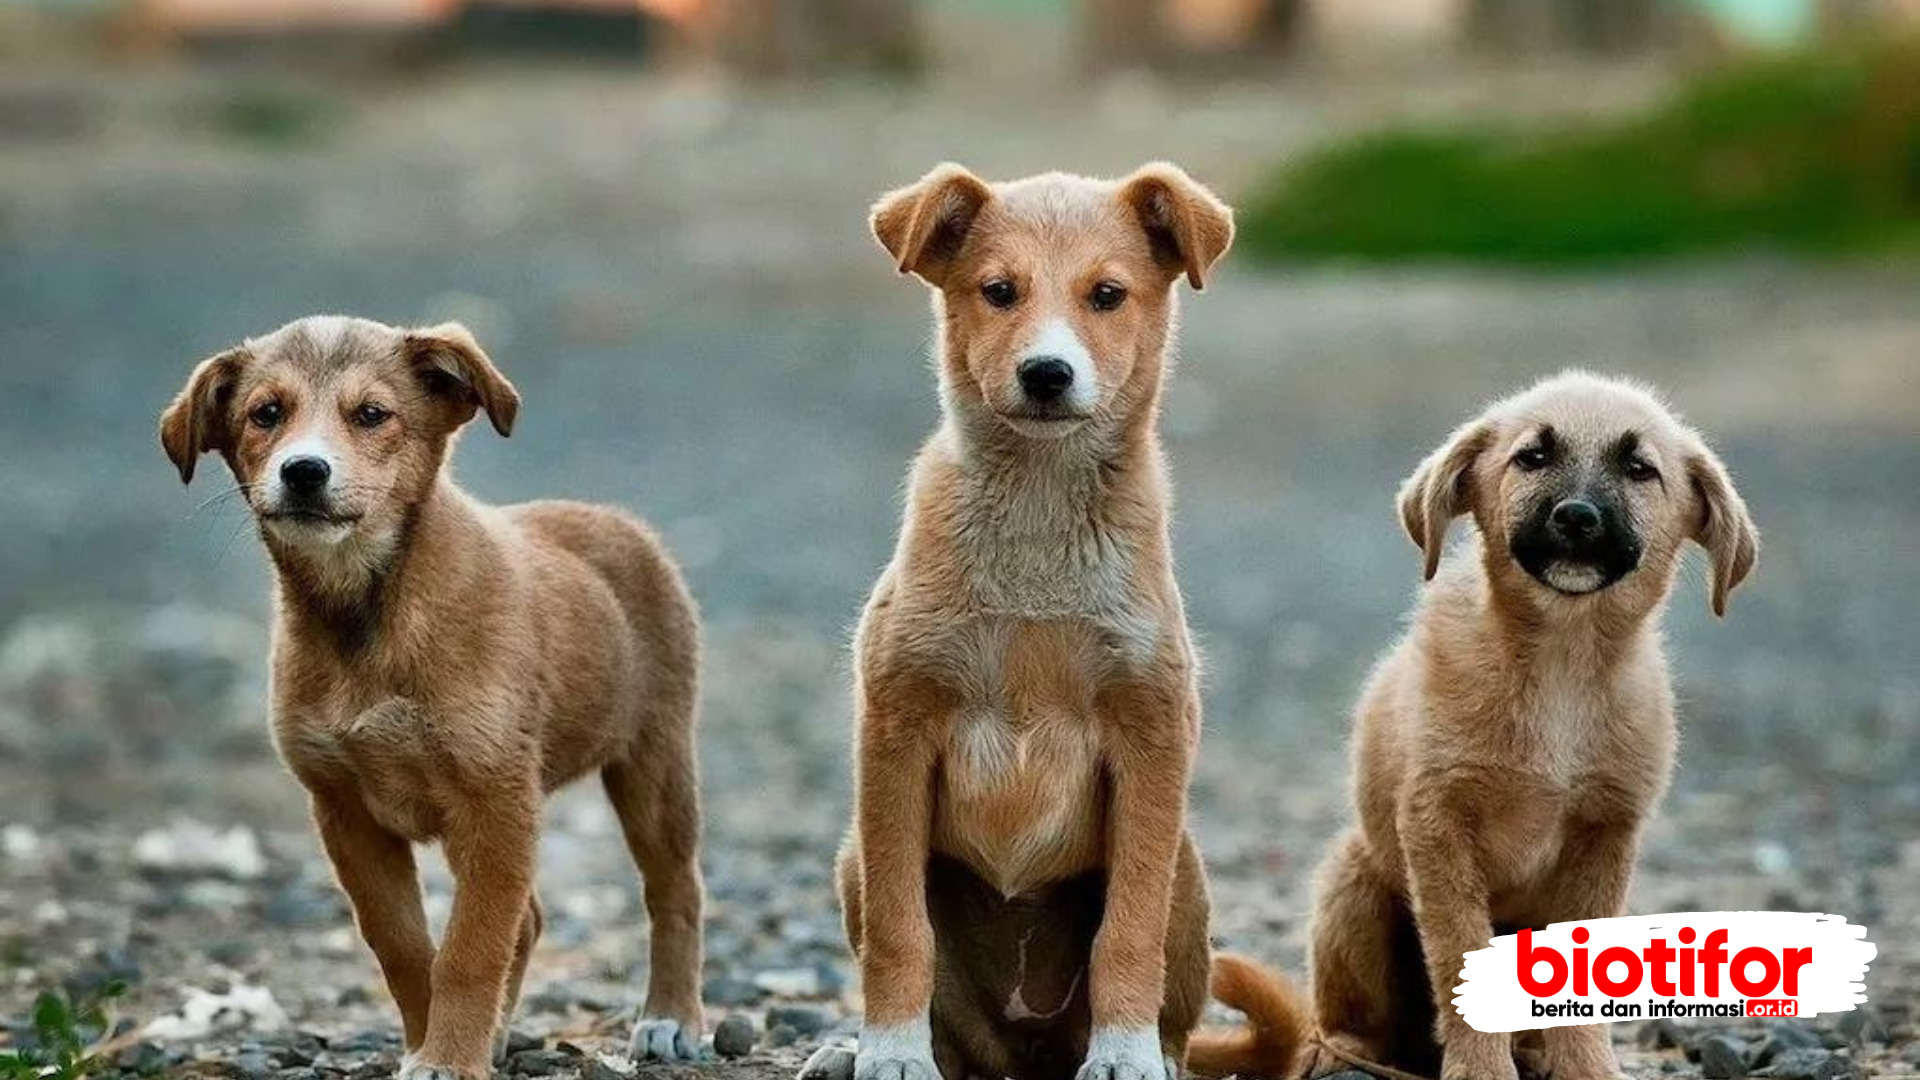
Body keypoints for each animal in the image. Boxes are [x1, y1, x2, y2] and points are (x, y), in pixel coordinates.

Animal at [159, 315, 714, 1076]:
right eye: (265, 414)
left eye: (372, 415)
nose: (304, 471)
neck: (367, 615)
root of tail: (614, 520)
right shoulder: (345, 810)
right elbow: (404, 947)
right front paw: (435, 1041)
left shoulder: (495, 799)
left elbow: (469, 950)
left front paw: (449, 1055)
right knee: (530, 919)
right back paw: (502, 1034)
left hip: (654, 762)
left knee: (675, 889)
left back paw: (671, 1018)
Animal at [794, 164, 1228, 1076]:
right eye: (999, 291)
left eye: (1108, 295)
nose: (1046, 373)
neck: (1038, 515)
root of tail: (1026, 1050)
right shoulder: (896, 727)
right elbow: (900, 931)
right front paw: (890, 1050)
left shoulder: (1153, 731)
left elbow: (1127, 931)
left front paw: (1125, 1053)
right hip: (853, 857)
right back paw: (855, 1050)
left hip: (1187, 868)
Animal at [1190, 368, 1758, 1076]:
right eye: (1532, 456)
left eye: (1639, 469)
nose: (1577, 517)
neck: (1561, 662)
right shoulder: (1438, 825)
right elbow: (1459, 957)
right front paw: (1482, 1069)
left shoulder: (1606, 831)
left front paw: (1585, 1067)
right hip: (1354, 883)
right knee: (1346, 1021)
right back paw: (1346, 1053)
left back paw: (1531, 1051)